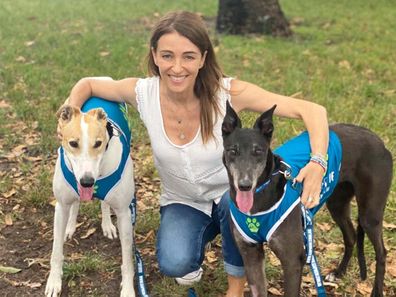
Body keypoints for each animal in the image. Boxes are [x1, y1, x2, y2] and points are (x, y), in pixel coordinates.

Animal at [45, 97, 136, 296]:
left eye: (98, 143)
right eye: (73, 143)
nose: (87, 181)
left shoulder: (124, 214)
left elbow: (127, 261)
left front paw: (128, 289)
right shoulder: (61, 206)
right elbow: (56, 251)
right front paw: (54, 281)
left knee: (104, 203)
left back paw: (107, 225)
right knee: (76, 204)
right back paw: (70, 227)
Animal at [221, 100, 392, 294]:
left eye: (258, 151)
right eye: (233, 151)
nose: (245, 185)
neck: (261, 196)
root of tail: (379, 141)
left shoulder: (292, 261)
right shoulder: (250, 254)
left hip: (369, 215)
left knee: (382, 252)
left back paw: (377, 291)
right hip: (337, 205)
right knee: (351, 236)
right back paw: (338, 273)